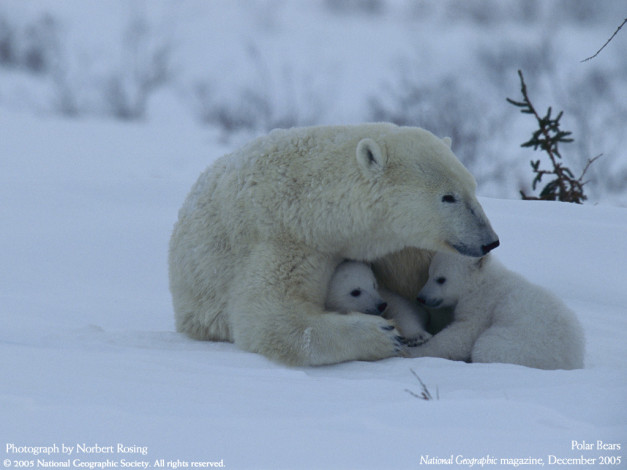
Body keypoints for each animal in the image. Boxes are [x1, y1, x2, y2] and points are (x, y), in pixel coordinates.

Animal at [168, 123, 500, 366]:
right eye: (448, 196)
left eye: (473, 188)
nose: (490, 241)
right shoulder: (285, 239)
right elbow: (270, 318)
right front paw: (382, 334)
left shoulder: (397, 248)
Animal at [410, 252, 588, 370]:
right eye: (429, 273)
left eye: (441, 279)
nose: (421, 297)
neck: (483, 282)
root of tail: (570, 362)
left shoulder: (482, 304)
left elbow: (462, 335)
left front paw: (416, 351)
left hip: (522, 346)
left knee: (486, 347)